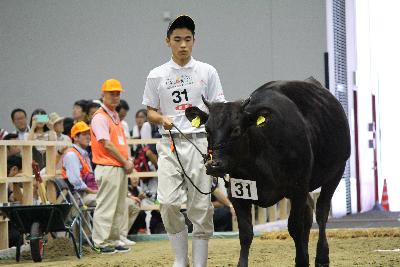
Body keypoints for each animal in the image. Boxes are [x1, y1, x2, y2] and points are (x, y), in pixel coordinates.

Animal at [185, 78, 350, 267]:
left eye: (236, 129)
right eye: (207, 130)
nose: (214, 164)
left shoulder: (298, 188)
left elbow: (295, 226)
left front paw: (302, 261)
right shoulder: (237, 194)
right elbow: (246, 233)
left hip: (337, 170)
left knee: (322, 211)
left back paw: (322, 258)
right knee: (309, 213)